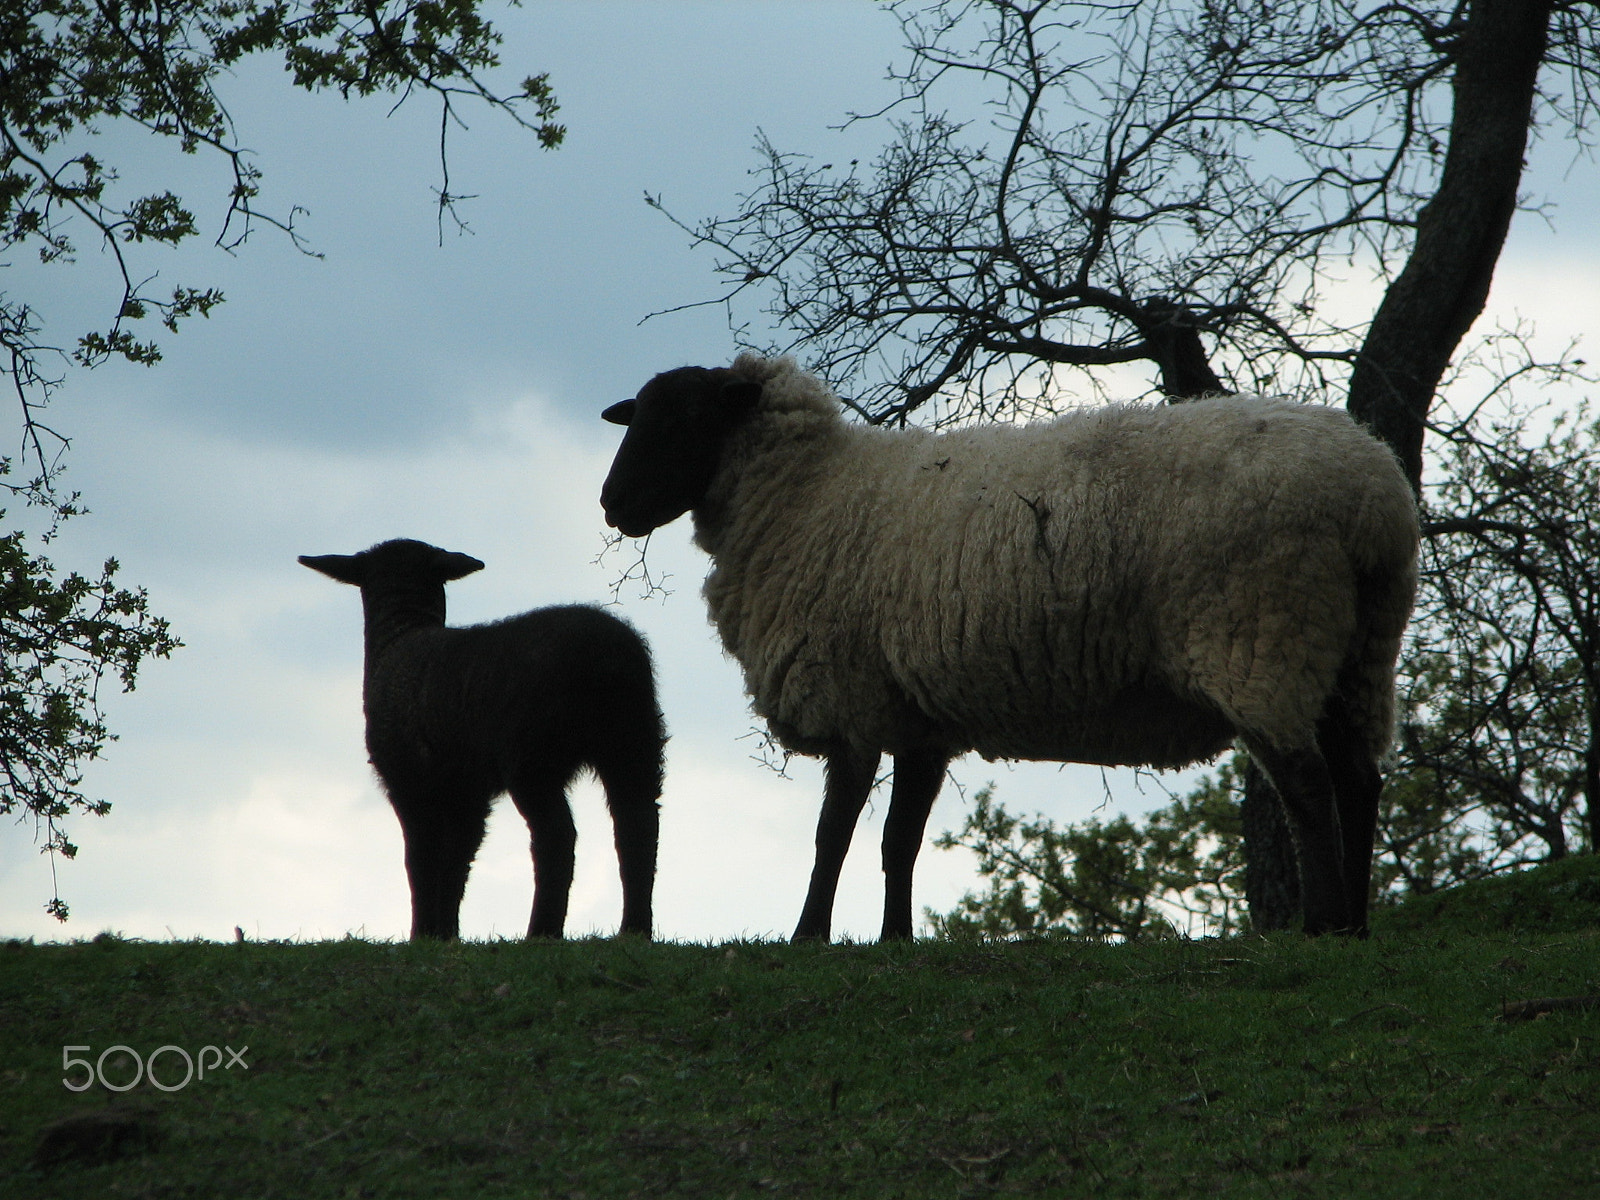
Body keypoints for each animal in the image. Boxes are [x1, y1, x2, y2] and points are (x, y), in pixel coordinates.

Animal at [300, 540, 662, 947]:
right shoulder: (467, 791)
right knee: (638, 827)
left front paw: (423, 933)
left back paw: (542, 931)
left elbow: (420, 857)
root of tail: (605, 654)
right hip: (634, 741)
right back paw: (635, 930)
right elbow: (457, 860)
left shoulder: (408, 781)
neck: (400, 634)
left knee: (557, 836)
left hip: (532, 756)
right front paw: (446, 933)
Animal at [601, 352, 1414, 947]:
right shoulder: (918, 719)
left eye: (682, 420)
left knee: (1307, 786)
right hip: (1359, 655)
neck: (806, 495)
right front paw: (895, 940)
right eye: (636, 415)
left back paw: (1324, 925)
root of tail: (1374, 498)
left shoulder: (852, 695)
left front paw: (808, 937)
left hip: (1261, 638)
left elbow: (832, 835)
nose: (611, 505)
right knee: (1358, 780)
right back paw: (1359, 923)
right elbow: (899, 839)